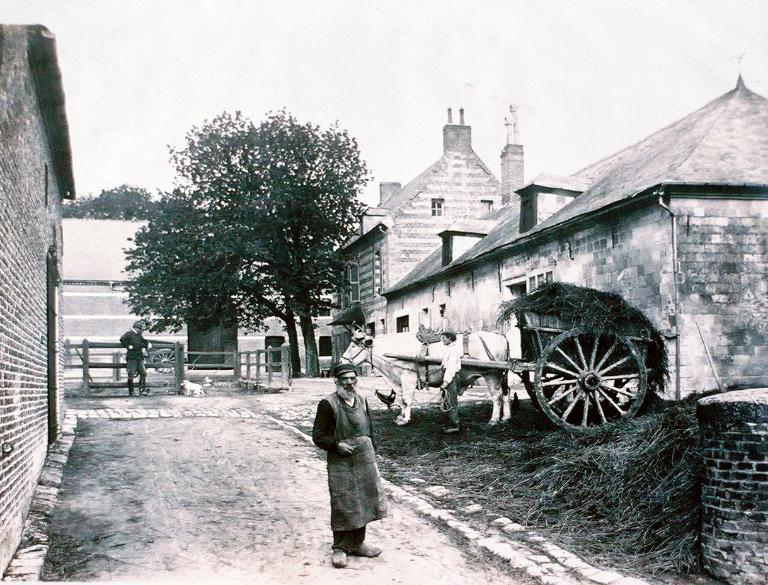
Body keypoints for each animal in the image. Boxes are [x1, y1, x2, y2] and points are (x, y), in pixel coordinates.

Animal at [340, 328, 510, 424]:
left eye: (353, 345)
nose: (341, 361)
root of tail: (499, 335)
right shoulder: (399, 380)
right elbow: (402, 399)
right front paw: (401, 416)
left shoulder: (408, 377)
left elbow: (406, 400)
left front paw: (405, 420)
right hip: (500, 375)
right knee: (506, 393)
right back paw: (506, 417)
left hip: (491, 374)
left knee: (497, 396)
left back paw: (494, 419)